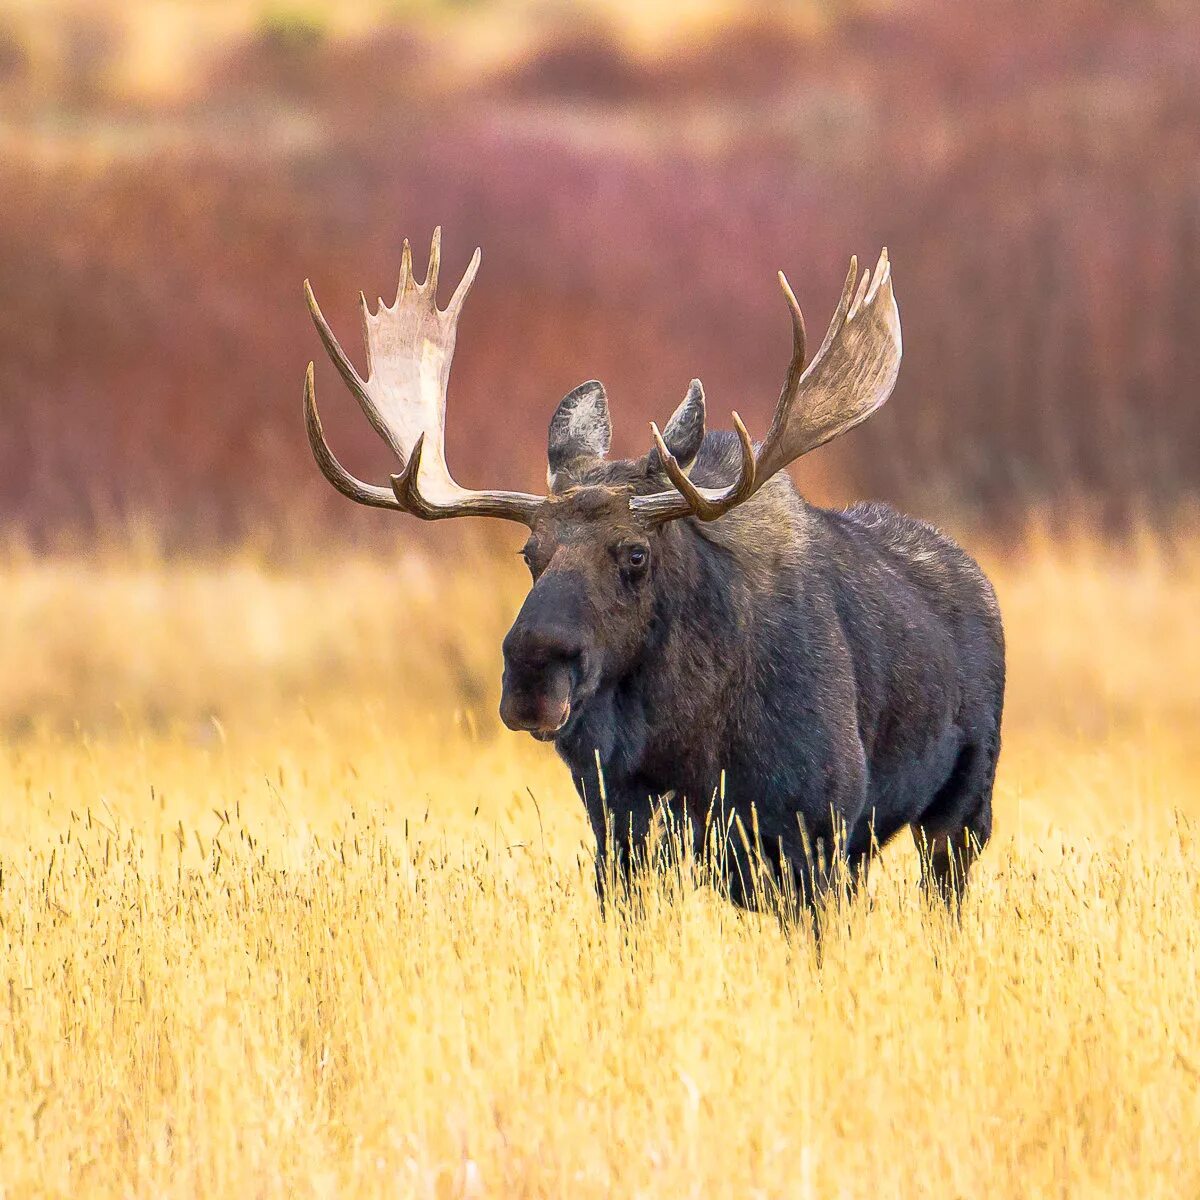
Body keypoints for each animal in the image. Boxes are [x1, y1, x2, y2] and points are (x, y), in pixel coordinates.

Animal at [300, 229, 1003, 912]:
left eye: (636, 553)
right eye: (530, 554)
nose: (532, 674)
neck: (687, 740)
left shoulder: (818, 823)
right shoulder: (619, 827)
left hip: (962, 812)